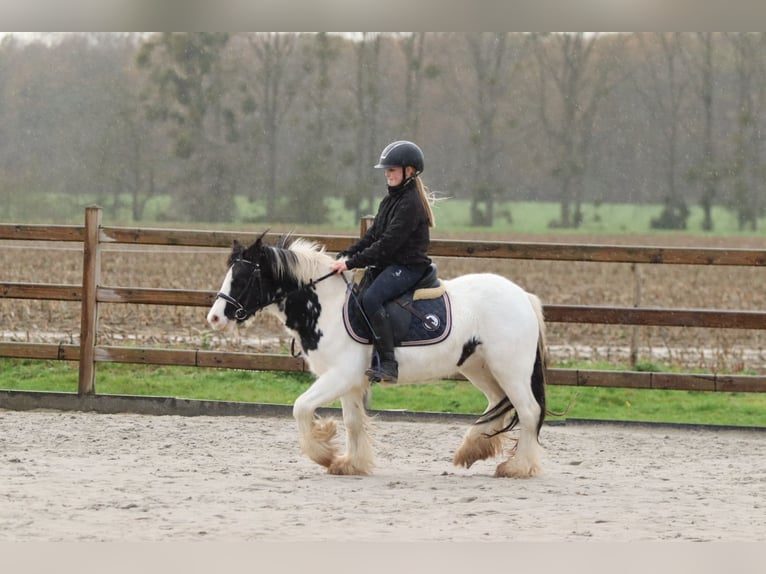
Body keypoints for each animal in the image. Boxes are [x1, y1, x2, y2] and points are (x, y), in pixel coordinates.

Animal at [206, 233, 549, 478]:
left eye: (242, 277)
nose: (214, 318)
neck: (327, 307)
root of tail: (523, 296)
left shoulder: (339, 376)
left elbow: (301, 407)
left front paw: (324, 453)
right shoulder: (349, 382)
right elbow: (352, 421)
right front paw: (350, 464)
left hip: (510, 368)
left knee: (528, 410)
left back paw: (518, 468)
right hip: (480, 366)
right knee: (498, 403)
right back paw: (472, 449)